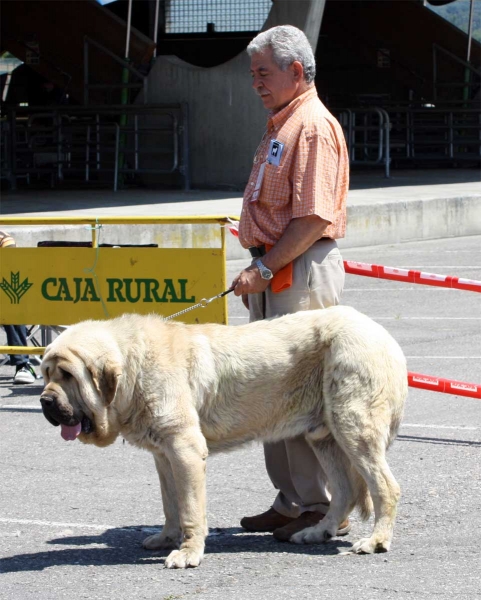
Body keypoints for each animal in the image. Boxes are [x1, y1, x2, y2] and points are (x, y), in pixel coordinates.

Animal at [40, 308, 404, 568]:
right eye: (46, 373)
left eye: (68, 375)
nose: (45, 401)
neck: (134, 366)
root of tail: (383, 335)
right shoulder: (164, 455)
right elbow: (170, 504)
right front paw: (166, 538)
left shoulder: (185, 450)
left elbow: (190, 508)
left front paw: (188, 553)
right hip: (324, 436)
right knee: (343, 490)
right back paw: (317, 531)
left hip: (354, 428)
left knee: (384, 486)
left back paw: (376, 541)